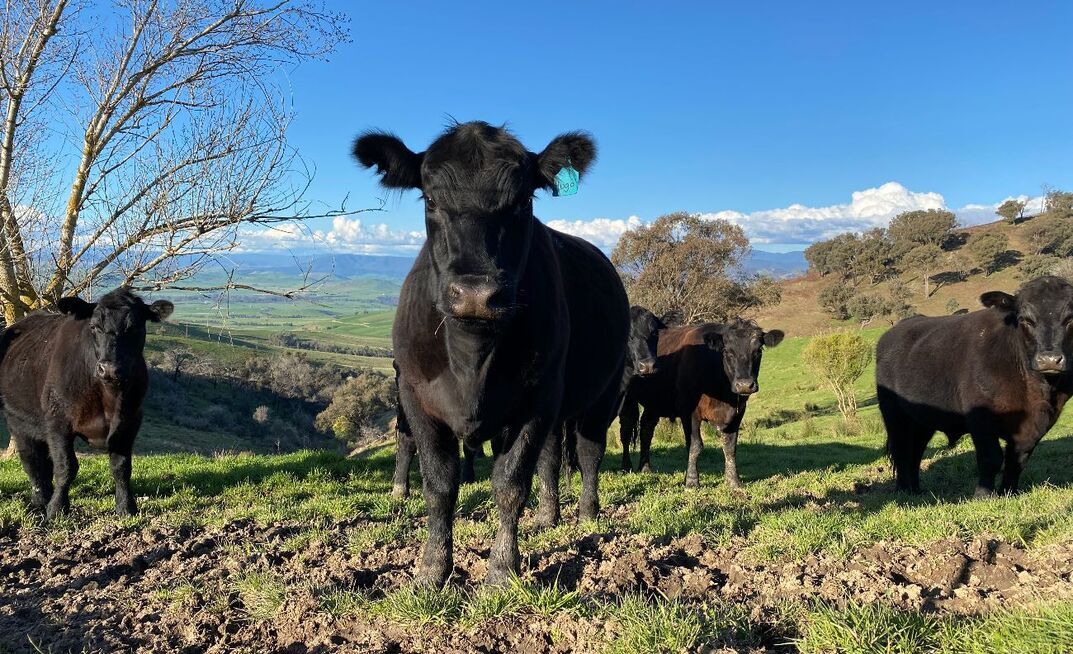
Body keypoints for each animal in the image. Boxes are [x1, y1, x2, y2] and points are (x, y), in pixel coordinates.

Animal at [0, 288, 173, 520]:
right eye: (94, 326)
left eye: (135, 327)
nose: (109, 368)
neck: (109, 397)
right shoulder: (58, 422)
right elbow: (66, 467)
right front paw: (57, 509)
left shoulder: (130, 422)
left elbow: (122, 467)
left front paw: (126, 508)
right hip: (17, 419)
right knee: (31, 460)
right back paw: (40, 502)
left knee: (42, 462)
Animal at [353, 121, 628, 586]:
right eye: (430, 198)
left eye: (523, 202)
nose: (476, 294)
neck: (472, 361)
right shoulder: (416, 397)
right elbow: (439, 487)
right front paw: (432, 569)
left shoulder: (538, 400)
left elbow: (510, 484)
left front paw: (502, 568)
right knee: (551, 458)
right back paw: (548, 517)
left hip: (603, 393)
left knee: (589, 452)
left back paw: (588, 514)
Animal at [621, 319, 784, 487]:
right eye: (727, 351)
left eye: (758, 351)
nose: (745, 385)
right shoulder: (689, 412)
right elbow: (695, 445)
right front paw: (692, 481)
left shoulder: (737, 413)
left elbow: (730, 447)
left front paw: (733, 481)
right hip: (626, 399)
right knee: (626, 431)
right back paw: (626, 467)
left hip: (655, 402)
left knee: (646, 430)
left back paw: (645, 468)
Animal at [876, 276, 1073, 496]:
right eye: (1025, 320)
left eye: (1070, 319)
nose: (1049, 360)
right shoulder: (980, 417)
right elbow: (991, 457)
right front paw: (983, 494)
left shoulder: (1036, 424)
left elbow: (1018, 460)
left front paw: (1008, 492)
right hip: (894, 414)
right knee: (902, 450)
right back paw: (904, 490)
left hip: (922, 418)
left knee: (915, 451)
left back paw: (915, 490)